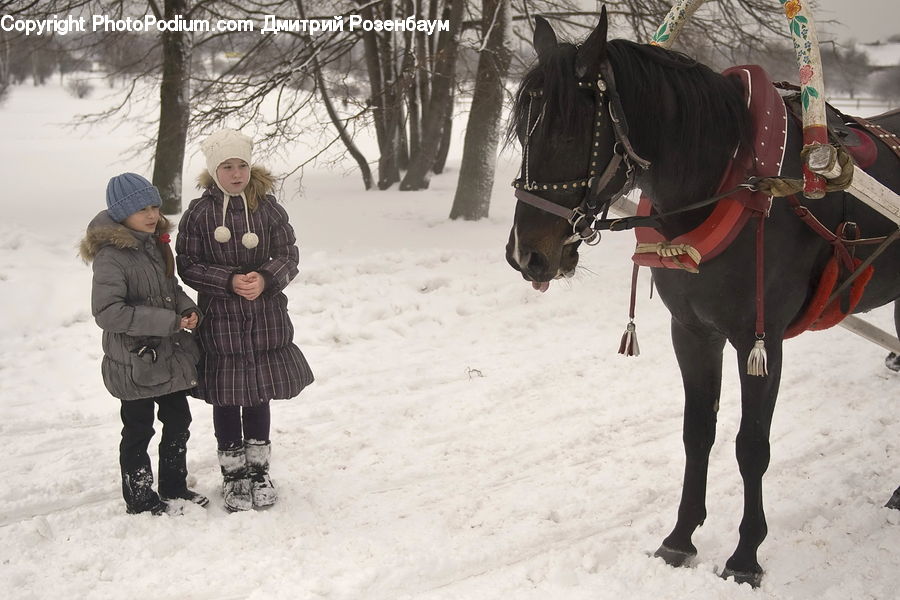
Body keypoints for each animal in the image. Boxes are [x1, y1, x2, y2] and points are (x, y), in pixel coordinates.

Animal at [504, 8, 900, 587]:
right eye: (520, 128)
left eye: (569, 129)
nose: (527, 255)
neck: (728, 181)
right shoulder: (692, 332)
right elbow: (698, 433)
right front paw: (680, 537)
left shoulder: (760, 341)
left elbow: (751, 445)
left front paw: (745, 555)